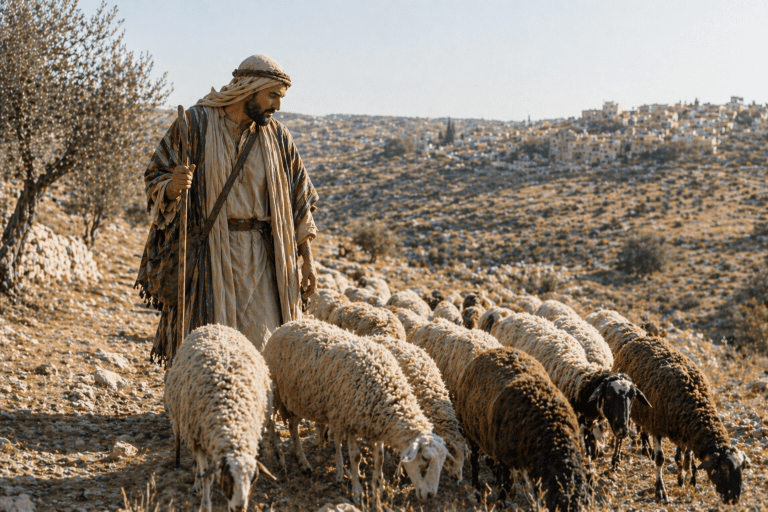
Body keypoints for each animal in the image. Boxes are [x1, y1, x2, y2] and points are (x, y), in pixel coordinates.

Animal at [164, 324, 276, 512]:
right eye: (228, 478)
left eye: (253, 480)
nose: (239, 508)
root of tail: (216, 325)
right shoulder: (198, 438)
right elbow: (206, 475)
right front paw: (205, 504)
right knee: (197, 464)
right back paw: (196, 483)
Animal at [263, 319, 448, 508]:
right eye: (424, 458)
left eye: (442, 462)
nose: (430, 495)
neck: (386, 392)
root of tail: (286, 325)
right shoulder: (349, 421)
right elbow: (356, 456)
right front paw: (357, 490)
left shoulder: (374, 426)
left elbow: (380, 459)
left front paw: (379, 489)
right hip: (277, 391)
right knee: (271, 422)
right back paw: (278, 454)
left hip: (302, 400)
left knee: (292, 425)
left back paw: (302, 462)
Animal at [456, 347, 591, 511]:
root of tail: (493, 350)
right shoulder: (504, 458)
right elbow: (506, 485)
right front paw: (501, 503)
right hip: (471, 432)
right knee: (475, 462)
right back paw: (477, 491)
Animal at [585, 309, 748, 504]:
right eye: (724, 469)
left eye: (741, 469)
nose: (734, 499)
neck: (696, 407)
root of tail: (640, 338)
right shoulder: (657, 426)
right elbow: (660, 459)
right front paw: (661, 491)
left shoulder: (686, 431)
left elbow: (686, 458)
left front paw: (685, 480)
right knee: (622, 435)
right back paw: (617, 458)